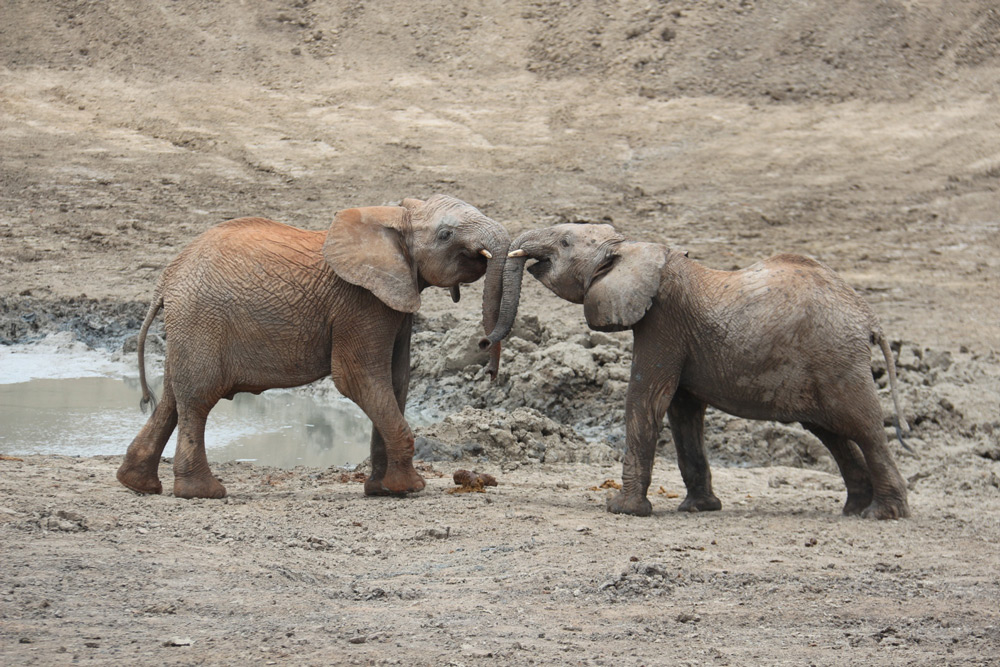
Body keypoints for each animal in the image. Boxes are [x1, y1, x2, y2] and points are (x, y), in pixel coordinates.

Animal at [117, 196, 508, 498]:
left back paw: (137, 484)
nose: (486, 355)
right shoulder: (360, 303)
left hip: (189, 327)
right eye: (445, 235)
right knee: (197, 399)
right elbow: (359, 379)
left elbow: (396, 381)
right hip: (201, 320)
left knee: (171, 398)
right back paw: (203, 493)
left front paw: (382, 490)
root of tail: (166, 279)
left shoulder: (393, 300)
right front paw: (409, 489)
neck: (393, 217)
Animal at [484, 224, 916, 520]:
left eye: (564, 243)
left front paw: (622, 509)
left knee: (865, 429)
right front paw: (699, 508)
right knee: (832, 433)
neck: (631, 247)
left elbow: (646, 400)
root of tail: (869, 317)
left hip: (838, 360)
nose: (486, 348)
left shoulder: (663, 322)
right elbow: (683, 412)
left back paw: (883, 514)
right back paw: (853, 509)